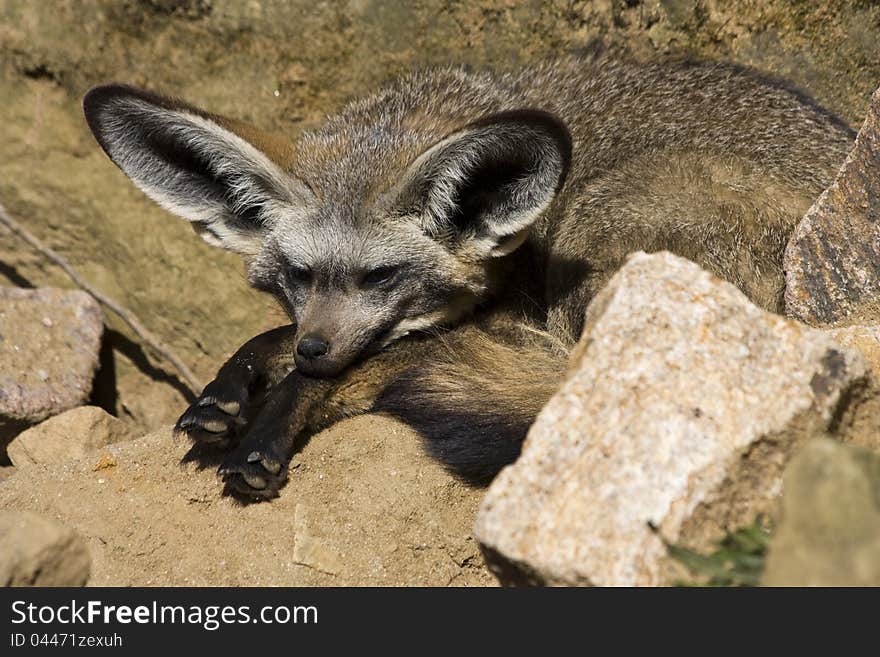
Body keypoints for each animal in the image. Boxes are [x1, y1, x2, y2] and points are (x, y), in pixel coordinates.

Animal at [82, 55, 852, 498]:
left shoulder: (517, 321)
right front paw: (238, 382)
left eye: (382, 276)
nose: (315, 350)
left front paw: (275, 411)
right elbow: (280, 338)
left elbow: (375, 359)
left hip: (604, 238)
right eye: (297, 275)